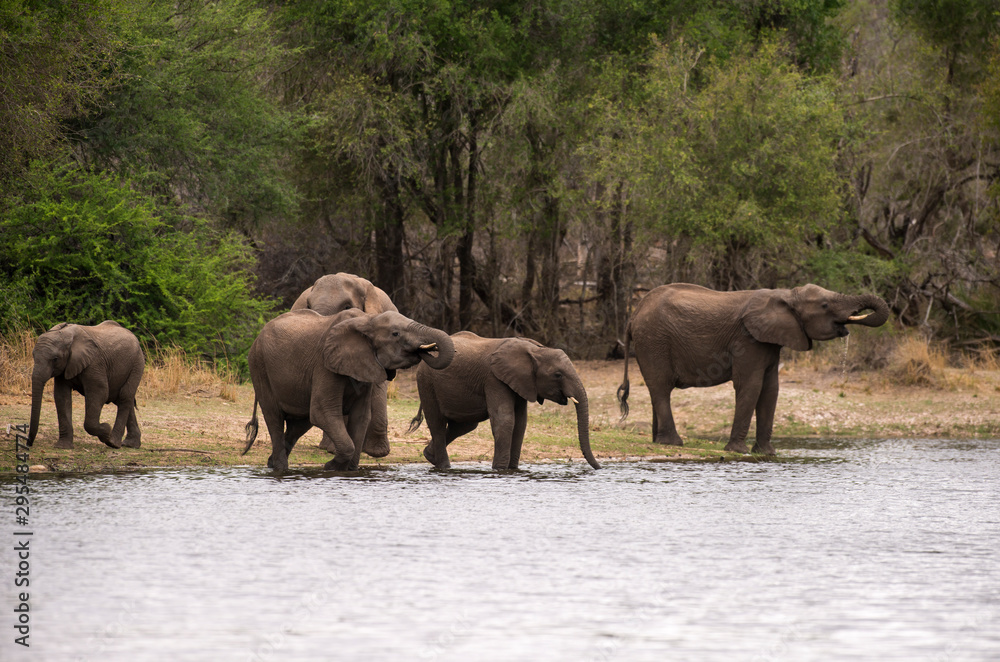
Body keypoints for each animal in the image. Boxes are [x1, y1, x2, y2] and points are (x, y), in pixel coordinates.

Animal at [27, 321, 144, 449]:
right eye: (33, 355)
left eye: (55, 359)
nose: (29, 444)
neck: (67, 336)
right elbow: (61, 396)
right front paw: (63, 447)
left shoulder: (94, 363)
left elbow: (100, 393)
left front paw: (106, 430)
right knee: (121, 399)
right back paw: (129, 444)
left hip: (137, 363)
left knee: (125, 396)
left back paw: (113, 442)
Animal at [242, 308, 455, 472]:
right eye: (395, 334)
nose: (424, 350)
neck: (368, 320)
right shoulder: (324, 363)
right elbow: (323, 412)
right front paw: (330, 467)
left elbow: (361, 416)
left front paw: (349, 471)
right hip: (258, 365)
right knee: (274, 417)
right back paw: (280, 468)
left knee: (299, 424)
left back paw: (271, 464)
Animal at [409, 332, 601, 471]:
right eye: (558, 375)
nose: (599, 468)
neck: (536, 350)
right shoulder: (494, 379)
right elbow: (505, 420)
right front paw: (500, 469)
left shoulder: (521, 382)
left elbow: (521, 423)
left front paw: (512, 469)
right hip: (426, 382)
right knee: (437, 424)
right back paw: (444, 467)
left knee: (464, 425)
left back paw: (430, 456)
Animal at [617, 283, 889, 455]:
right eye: (824, 305)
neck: (786, 294)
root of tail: (633, 315)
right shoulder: (748, 340)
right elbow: (751, 386)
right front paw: (738, 451)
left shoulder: (770, 341)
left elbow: (771, 390)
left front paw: (768, 454)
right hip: (654, 340)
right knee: (661, 388)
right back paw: (674, 444)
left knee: (657, 391)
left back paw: (659, 443)